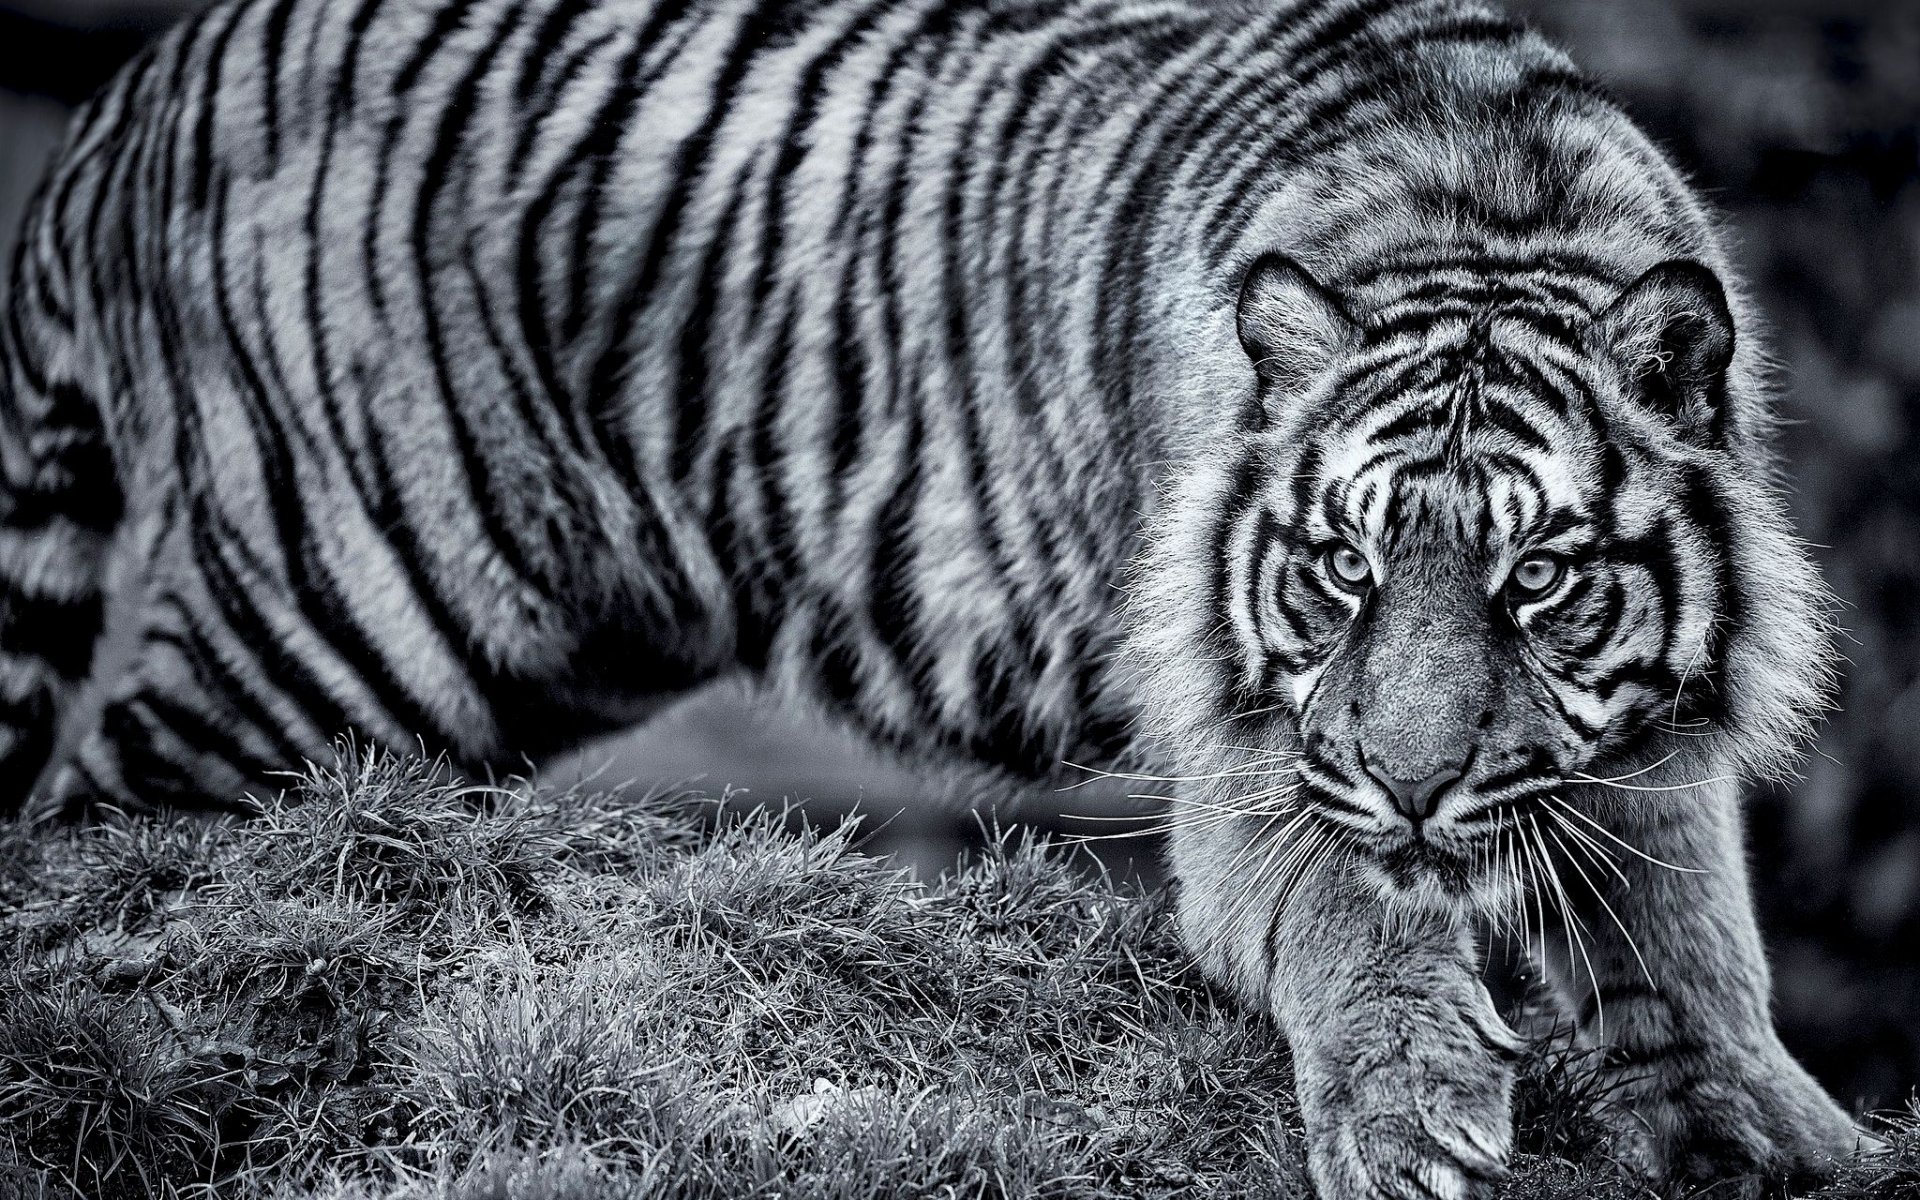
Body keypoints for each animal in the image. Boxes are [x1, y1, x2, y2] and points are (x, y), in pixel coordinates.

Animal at [0, 0, 1871, 1193]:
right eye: (1341, 567)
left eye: (1537, 577)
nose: (1414, 787)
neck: (1489, 226)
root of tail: (152, 74)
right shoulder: (1259, 760)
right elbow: (1344, 909)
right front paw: (1412, 1113)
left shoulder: (1649, 757)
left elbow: (1695, 942)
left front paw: (1790, 1131)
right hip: (340, 603)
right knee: (105, 798)